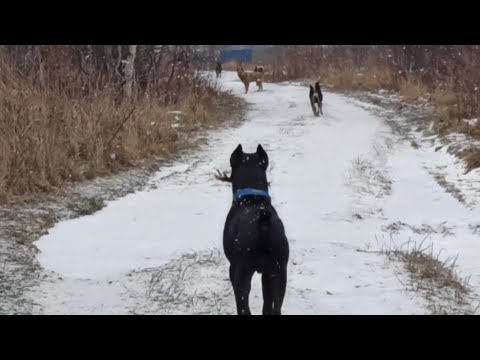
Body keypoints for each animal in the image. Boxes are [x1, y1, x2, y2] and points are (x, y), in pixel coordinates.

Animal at [221, 144, 288, 316]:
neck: (252, 198)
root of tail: (263, 223)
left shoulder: (233, 268)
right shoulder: (267, 273)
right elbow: (267, 302)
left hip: (241, 272)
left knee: (243, 305)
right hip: (279, 271)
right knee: (276, 307)